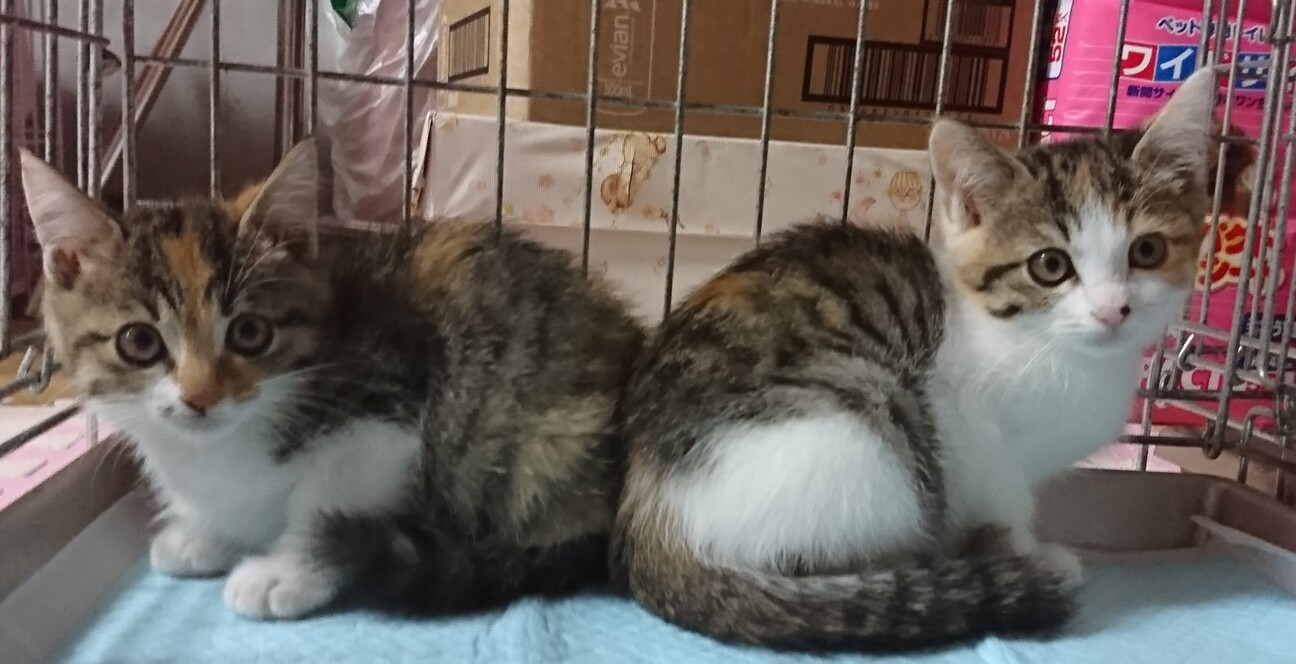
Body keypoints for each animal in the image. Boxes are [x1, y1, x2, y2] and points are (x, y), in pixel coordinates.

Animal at [19, 136, 645, 620]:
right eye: (140, 342)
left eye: (250, 333)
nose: (200, 396)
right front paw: (206, 535)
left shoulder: (385, 410)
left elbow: (326, 498)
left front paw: (286, 572)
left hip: (530, 437)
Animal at [611, 66, 1218, 651]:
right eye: (1050, 266)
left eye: (1147, 251)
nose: (1113, 310)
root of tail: (651, 512)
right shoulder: (974, 436)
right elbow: (1004, 505)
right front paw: (1028, 554)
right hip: (866, 430)